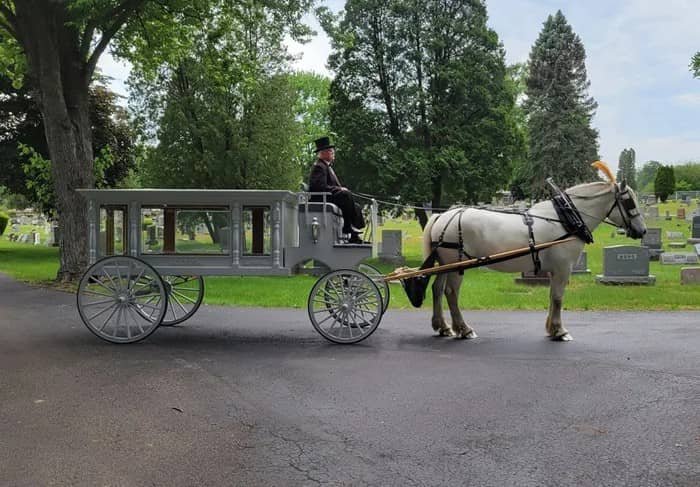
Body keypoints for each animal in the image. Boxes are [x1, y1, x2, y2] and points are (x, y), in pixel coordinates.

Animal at [422, 162, 644, 342]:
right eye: (630, 202)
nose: (642, 230)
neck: (565, 218)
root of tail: (443, 216)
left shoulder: (554, 270)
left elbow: (552, 296)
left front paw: (551, 329)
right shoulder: (563, 268)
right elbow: (558, 297)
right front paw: (560, 331)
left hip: (444, 264)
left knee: (437, 289)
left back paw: (443, 327)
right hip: (456, 266)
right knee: (451, 293)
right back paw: (464, 329)